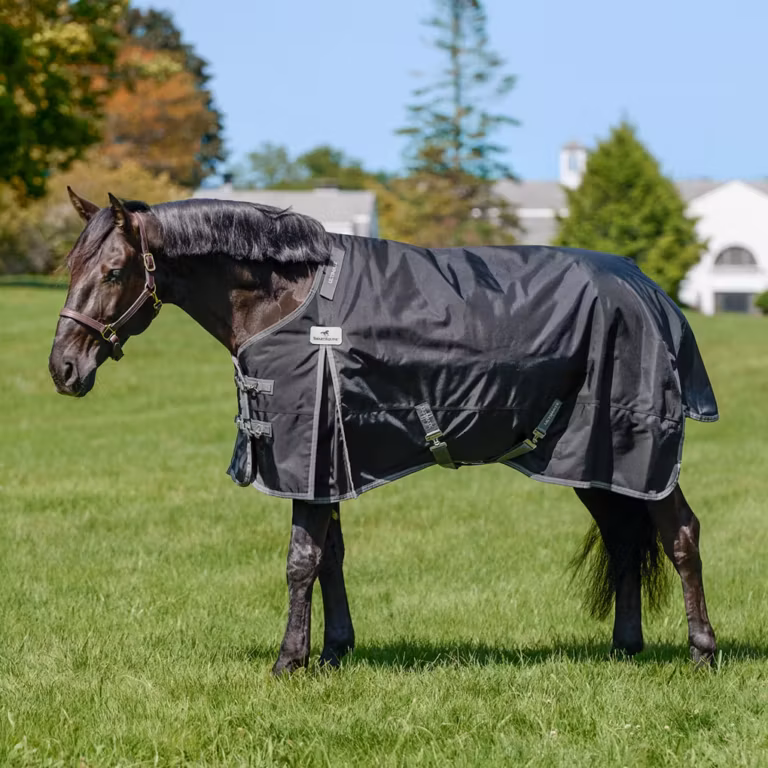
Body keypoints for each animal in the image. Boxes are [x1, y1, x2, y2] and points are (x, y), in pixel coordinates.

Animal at [48, 189, 718, 675]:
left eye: (114, 272)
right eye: (72, 265)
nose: (63, 368)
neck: (288, 297)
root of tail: (651, 291)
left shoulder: (310, 450)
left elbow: (300, 560)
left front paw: (288, 662)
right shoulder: (329, 458)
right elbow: (330, 556)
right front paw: (334, 650)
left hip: (639, 454)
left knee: (680, 534)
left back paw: (701, 652)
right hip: (592, 460)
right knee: (624, 539)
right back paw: (624, 648)